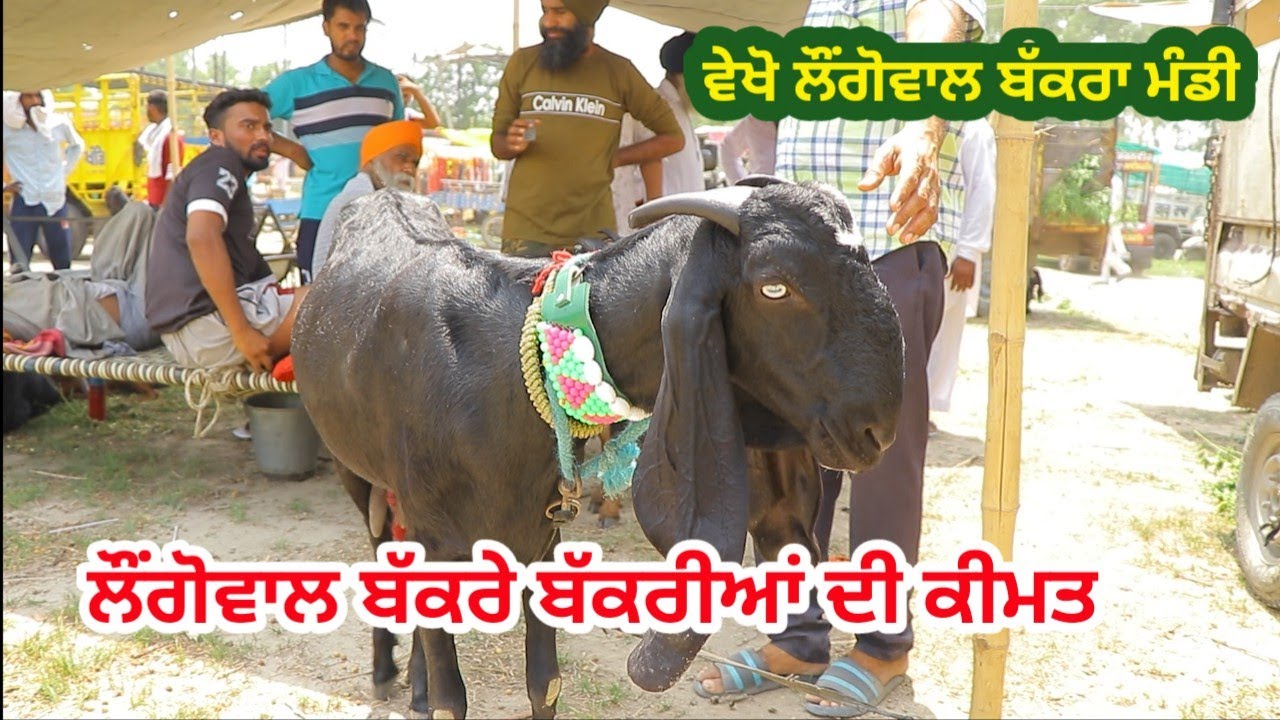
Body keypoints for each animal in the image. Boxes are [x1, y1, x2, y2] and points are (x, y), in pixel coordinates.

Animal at [290, 176, 905, 719]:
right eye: (775, 286)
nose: (877, 431)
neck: (498, 373)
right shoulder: (434, 531)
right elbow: (450, 700)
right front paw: (423, 689)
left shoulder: (539, 534)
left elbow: (545, 683)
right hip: (358, 472)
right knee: (380, 547)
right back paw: (385, 672)